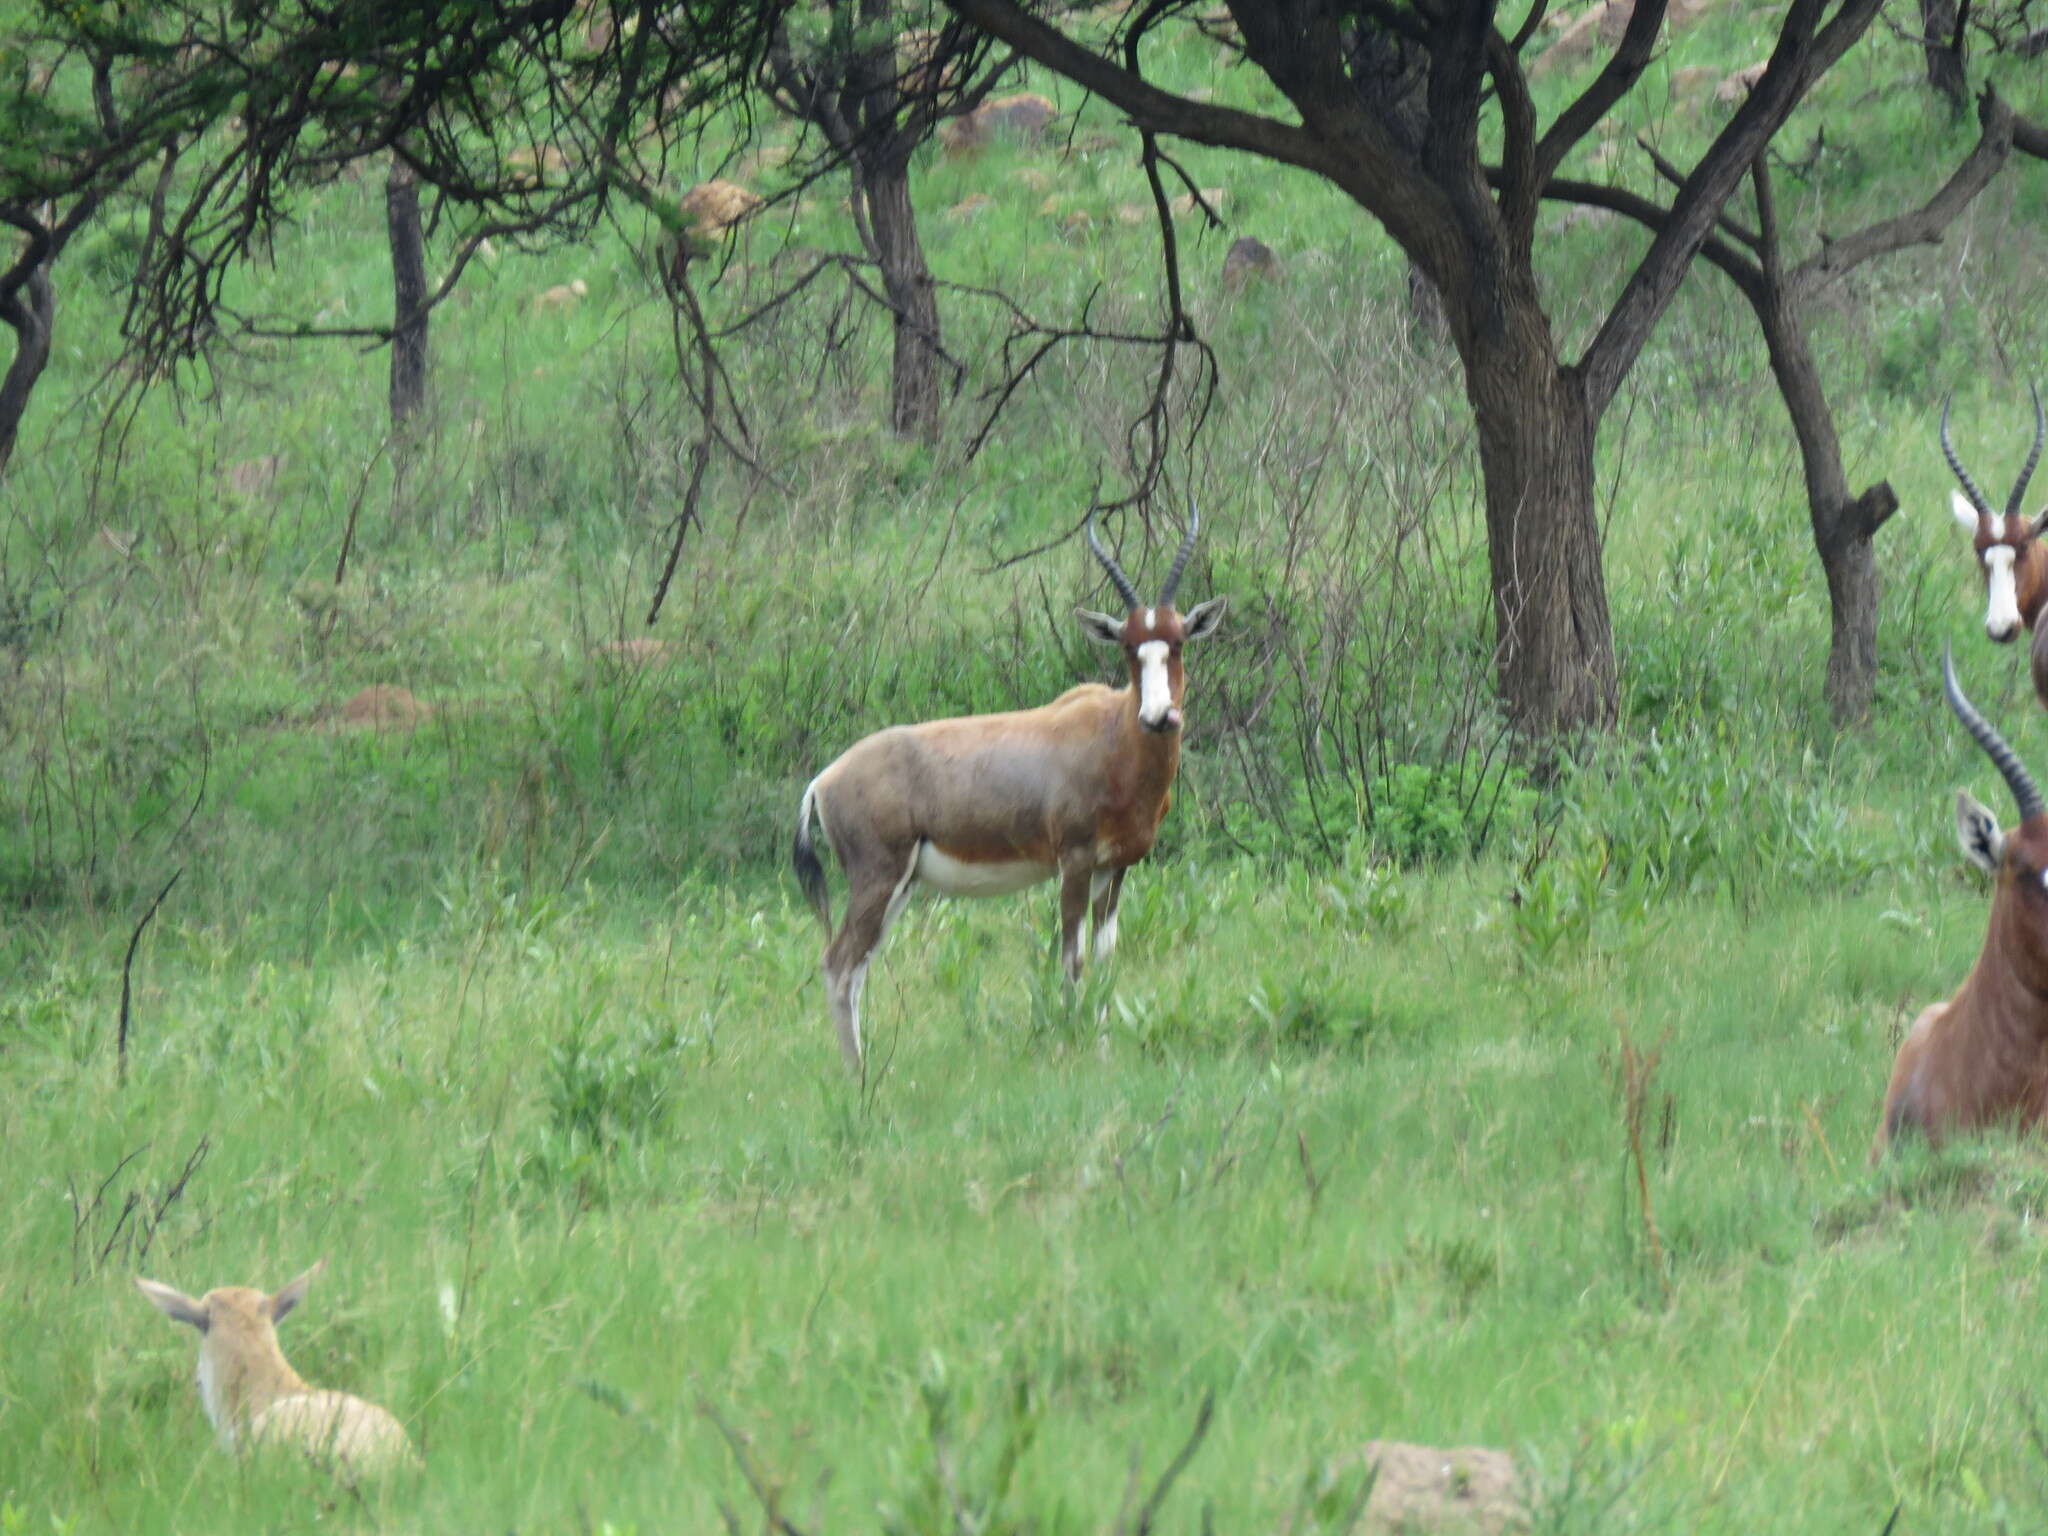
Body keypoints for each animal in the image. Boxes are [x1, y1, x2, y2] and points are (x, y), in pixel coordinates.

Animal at [790, 505, 1220, 1073]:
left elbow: (1106, 958)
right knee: (838, 965)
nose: (1158, 717)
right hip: (877, 879)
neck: (1112, 734)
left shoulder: (1116, 869)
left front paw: (1104, 1048)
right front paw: (1069, 1044)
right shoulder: (1074, 862)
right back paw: (857, 1077)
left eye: (1177, 641)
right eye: (1129, 646)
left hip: (899, 887)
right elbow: (1072, 957)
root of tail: (824, 780)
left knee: (857, 967)